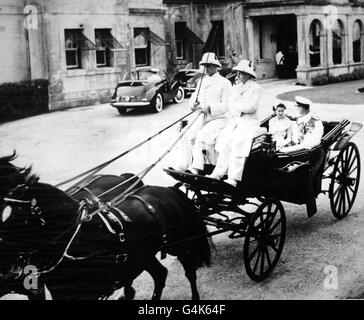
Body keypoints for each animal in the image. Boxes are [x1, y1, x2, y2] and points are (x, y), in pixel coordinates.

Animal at [0, 152, 210, 300]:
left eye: (8, 213)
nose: (8, 267)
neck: (76, 240)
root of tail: (169, 190)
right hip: (144, 256)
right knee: (160, 274)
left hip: (181, 245)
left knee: (189, 271)